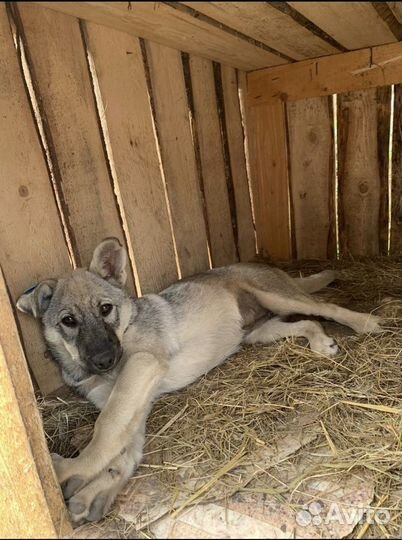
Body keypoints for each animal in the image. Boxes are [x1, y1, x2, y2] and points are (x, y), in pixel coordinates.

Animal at [16, 236, 384, 524]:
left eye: (106, 309)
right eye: (68, 321)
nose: (105, 360)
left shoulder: (141, 367)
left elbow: (106, 429)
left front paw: (72, 470)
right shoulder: (133, 400)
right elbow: (123, 448)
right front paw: (94, 491)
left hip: (278, 297)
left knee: (326, 308)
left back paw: (366, 322)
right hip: (258, 331)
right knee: (309, 321)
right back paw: (321, 342)